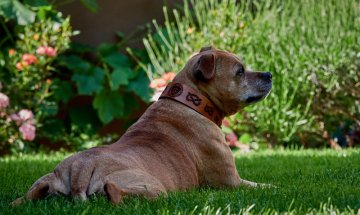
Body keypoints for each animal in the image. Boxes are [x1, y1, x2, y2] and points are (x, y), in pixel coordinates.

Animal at [12, 46, 272, 205]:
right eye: (240, 71)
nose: (269, 74)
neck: (192, 102)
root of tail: (79, 170)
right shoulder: (233, 183)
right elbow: (266, 185)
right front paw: (275, 187)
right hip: (153, 188)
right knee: (119, 195)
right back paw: (109, 194)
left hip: (44, 180)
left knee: (25, 198)